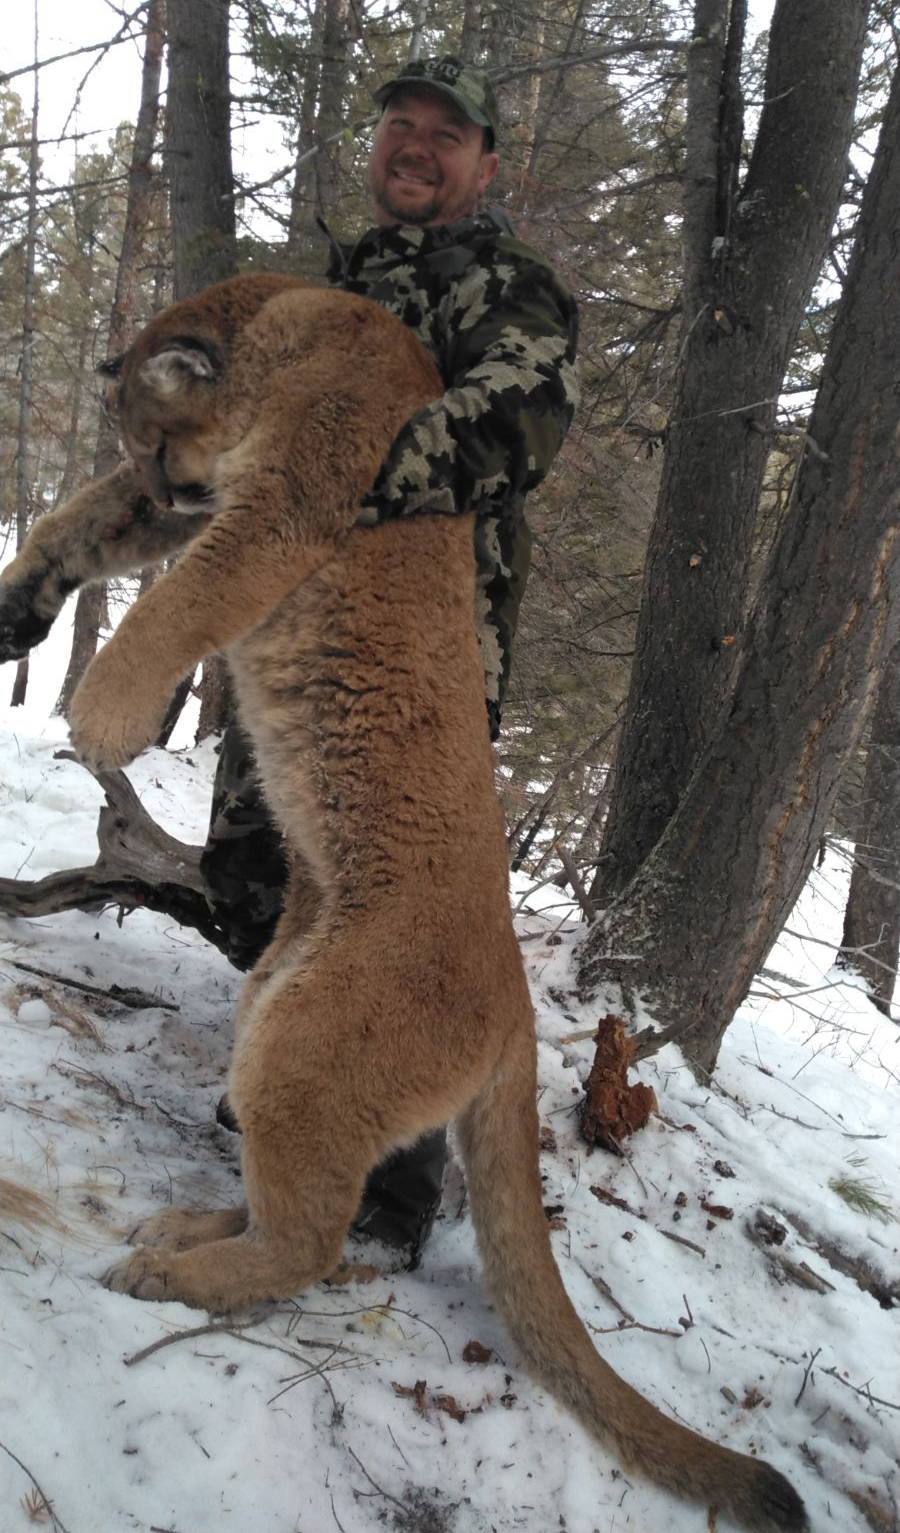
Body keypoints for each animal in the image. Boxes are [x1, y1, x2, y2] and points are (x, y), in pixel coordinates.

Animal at [0, 274, 807, 1532]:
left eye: (159, 438)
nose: (169, 486)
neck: (289, 329)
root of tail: (519, 1006)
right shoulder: (222, 504)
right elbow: (89, 523)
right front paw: (28, 587)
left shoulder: (287, 508)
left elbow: (177, 607)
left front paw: (102, 717)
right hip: (275, 1007)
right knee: (289, 1210)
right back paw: (184, 1228)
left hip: (307, 1046)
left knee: (310, 1244)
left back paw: (167, 1269)